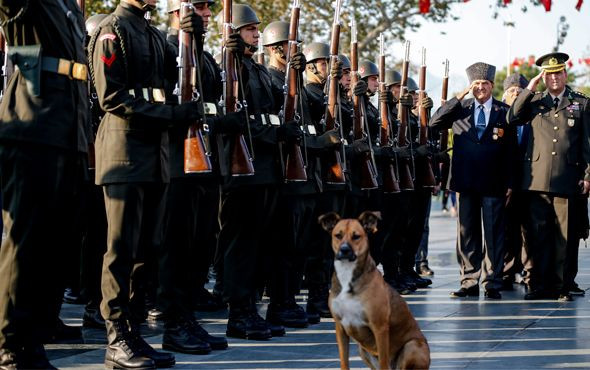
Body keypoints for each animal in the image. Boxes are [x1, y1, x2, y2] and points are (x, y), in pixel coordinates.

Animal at [322, 211, 432, 370]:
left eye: (356, 236)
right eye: (338, 235)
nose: (344, 250)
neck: (348, 274)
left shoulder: (379, 327)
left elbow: (383, 360)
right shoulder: (340, 328)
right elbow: (344, 362)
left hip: (412, 346)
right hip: (362, 350)